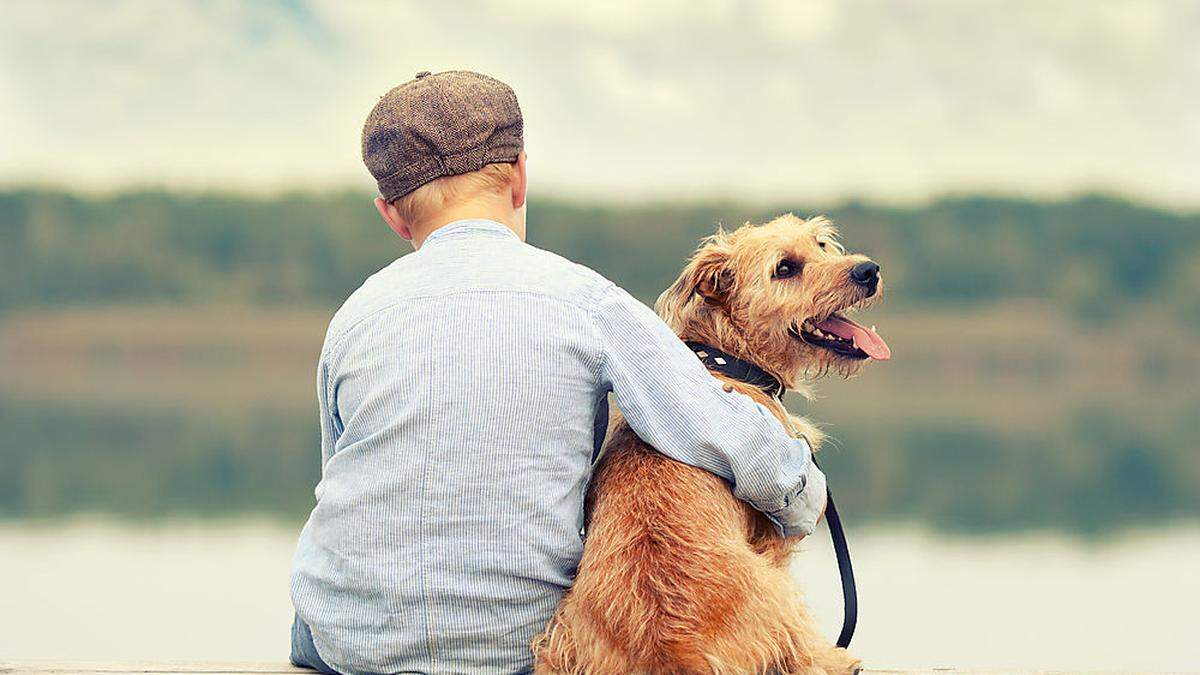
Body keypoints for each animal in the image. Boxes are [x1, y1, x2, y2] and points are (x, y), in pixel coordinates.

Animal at [535, 213, 892, 672]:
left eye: (821, 244)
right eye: (785, 268)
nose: (867, 270)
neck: (727, 361)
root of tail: (672, 647)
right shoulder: (777, 537)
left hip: (559, 636)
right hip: (779, 589)